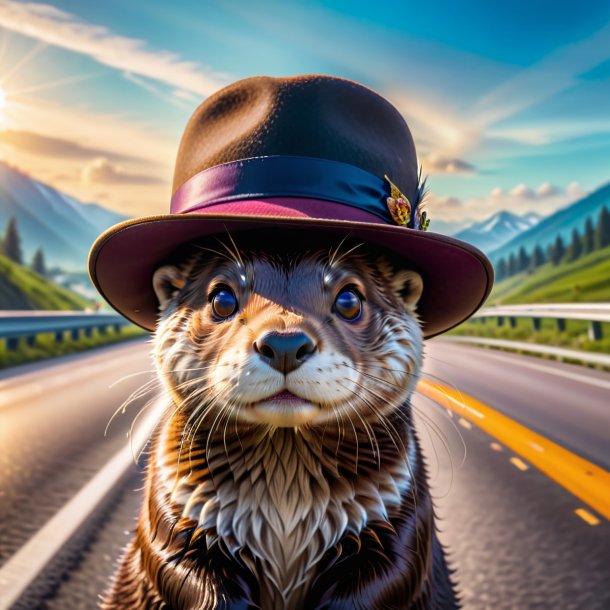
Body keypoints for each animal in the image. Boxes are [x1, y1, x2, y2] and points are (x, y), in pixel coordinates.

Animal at [102, 232, 456, 608]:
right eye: (222, 299)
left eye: (349, 300)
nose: (285, 343)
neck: (286, 509)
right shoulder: (178, 503)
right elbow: (174, 565)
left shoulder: (397, 506)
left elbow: (395, 572)